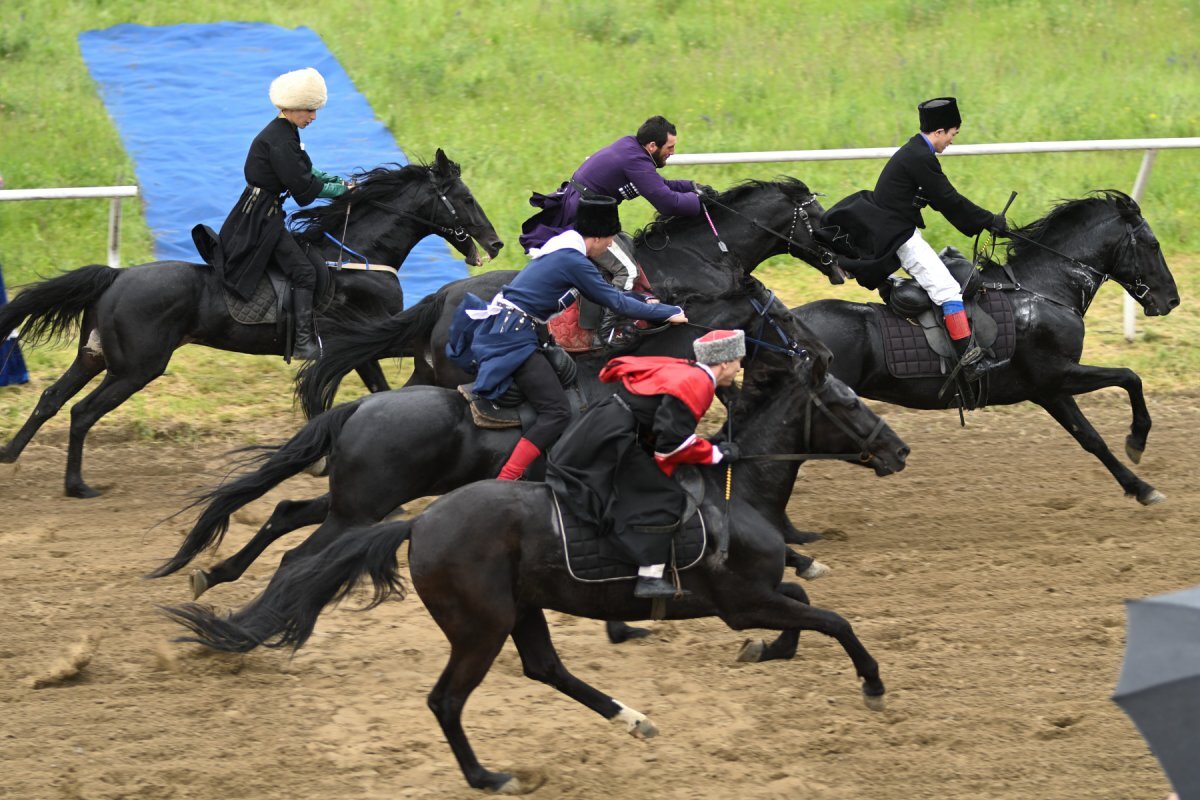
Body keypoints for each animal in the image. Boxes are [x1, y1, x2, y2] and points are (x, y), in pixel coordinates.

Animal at [0, 148, 501, 494]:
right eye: (465, 198)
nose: (495, 244)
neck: (357, 256)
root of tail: (116, 276)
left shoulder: (361, 344)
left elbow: (370, 389)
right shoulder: (369, 335)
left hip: (96, 358)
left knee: (51, 399)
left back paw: (9, 456)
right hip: (135, 369)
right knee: (82, 412)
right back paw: (77, 486)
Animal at [164, 470, 888, 796]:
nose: (894, 448)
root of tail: (417, 522)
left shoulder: (755, 600)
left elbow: (806, 603)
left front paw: (770, 650)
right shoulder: (743, 601)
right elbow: (834, 618)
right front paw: (872, 684)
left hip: (521, 614)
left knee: (546, 669)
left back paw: (633, 719)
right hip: (481, 630)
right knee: (447, 700)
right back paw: (487, 776)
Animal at [792, 190, 1176, 503]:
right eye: (1153, 244)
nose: (1172, 300)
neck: (1043, 289)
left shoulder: (1050, 390)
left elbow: (1091, 438)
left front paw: (1140, 487)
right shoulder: (1059, 374)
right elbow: (1129, 377)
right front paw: (1137, 440)